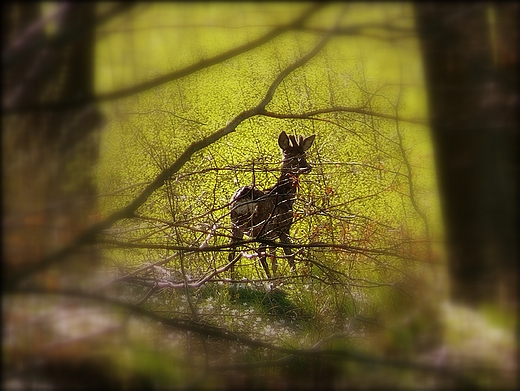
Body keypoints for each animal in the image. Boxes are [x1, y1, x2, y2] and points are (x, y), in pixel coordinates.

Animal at [229, 132, 316, 278]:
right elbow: (289, 256)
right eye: (292, 157)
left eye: (304, 155)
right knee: (260, 251)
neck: (285, 195)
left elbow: (274, 258)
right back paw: (269, 279)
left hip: (236, 225)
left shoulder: (274, 235)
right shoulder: (283, 227)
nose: (307, 167)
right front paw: (295, 276)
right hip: (265, 226)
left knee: (231, 253)